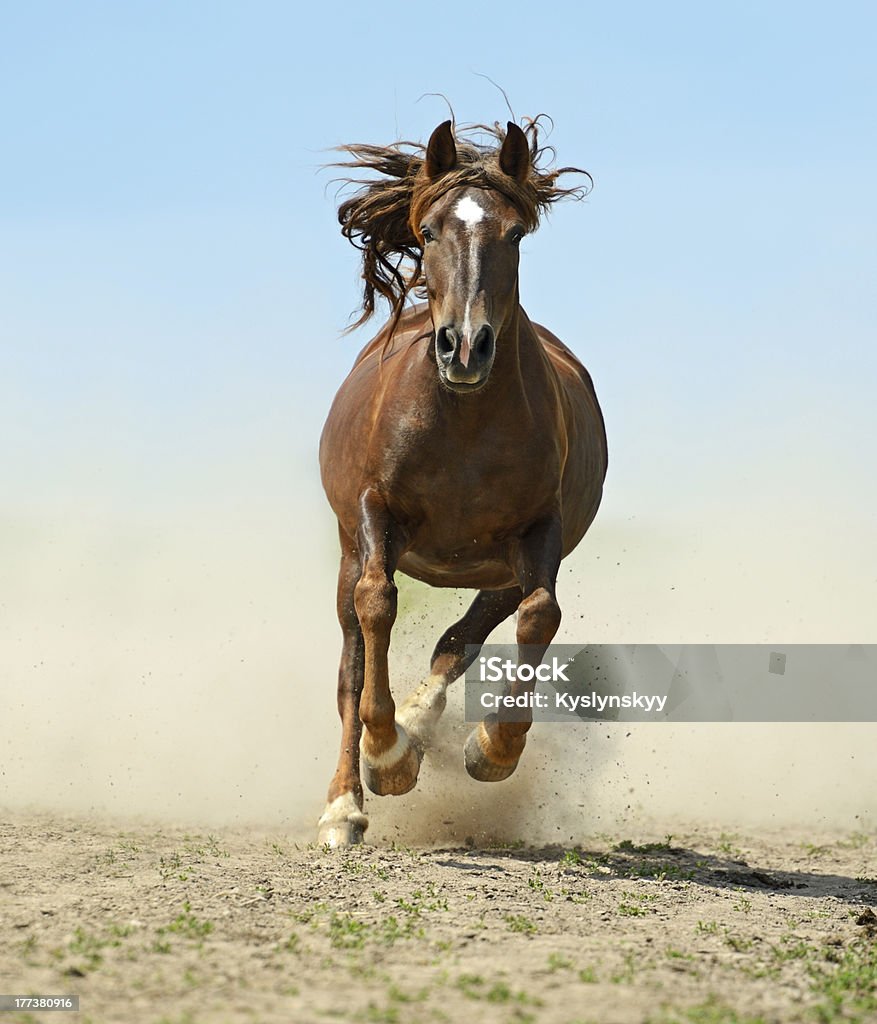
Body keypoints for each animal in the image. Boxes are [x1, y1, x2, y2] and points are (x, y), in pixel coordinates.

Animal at [317, 117, 610, 847]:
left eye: (515, 234)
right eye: (427, 232)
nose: (465, 347)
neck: (465, 426)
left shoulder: (539, 532)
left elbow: (539, 615)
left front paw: (491, 749)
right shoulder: (375, 512)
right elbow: (377, 606)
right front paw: (385, 758)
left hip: (495, 568)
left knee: (462, 637)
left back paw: (421, 726)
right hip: (349, 548)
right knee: (351, 664)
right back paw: (345, 802)